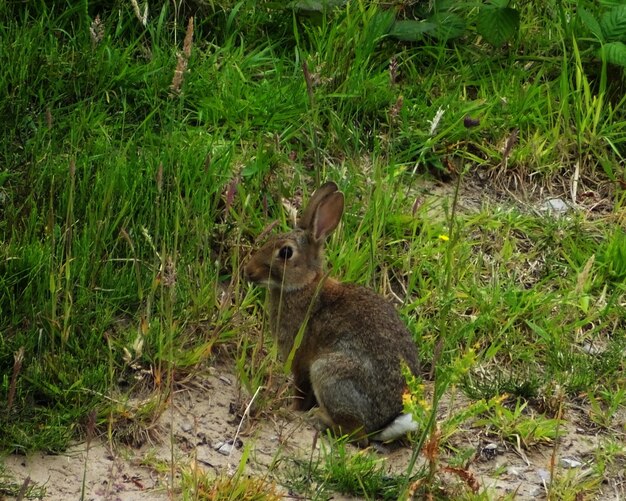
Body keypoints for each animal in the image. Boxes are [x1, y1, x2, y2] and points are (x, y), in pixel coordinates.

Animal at [245, 181, 420, 446]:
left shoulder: (299, 359)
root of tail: (383, 424)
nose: (248, 271)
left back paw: (318, 418)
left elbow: (300, 391)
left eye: (285, 253)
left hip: (328, 372)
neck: (303, 285)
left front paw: (292, 410)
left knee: (357, 436)